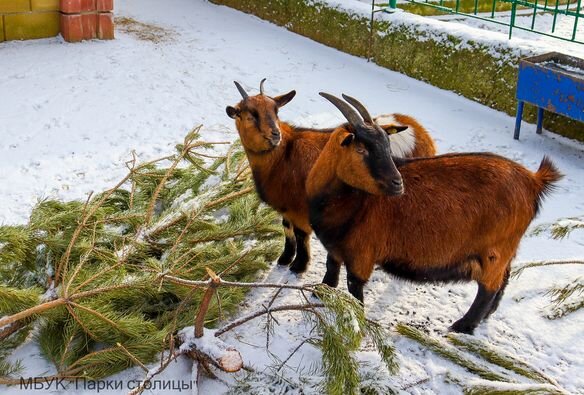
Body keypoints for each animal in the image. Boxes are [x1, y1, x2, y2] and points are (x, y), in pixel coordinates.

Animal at [226, 81, 436, 276]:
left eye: (276, 111)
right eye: (250, 114)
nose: (275, 135)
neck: (284, 154)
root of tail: (420, 134)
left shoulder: (301, 209)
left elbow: (301, 235)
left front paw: (299, 266)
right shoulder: (287, 206)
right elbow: (287, 229)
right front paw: (285, 259)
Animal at [308, 93, 564, 334]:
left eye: (388, 146)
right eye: (360, 148)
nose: (397, 184)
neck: (353, 203)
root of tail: (533, 181)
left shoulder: (362, 253)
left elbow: (355, 288)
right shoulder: (335, 247)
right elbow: (331, 268)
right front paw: (320, 294)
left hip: (495, 251)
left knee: (489, 286)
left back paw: (463, 326)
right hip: (508, 250)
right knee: (504, 279)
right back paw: (486, 316)